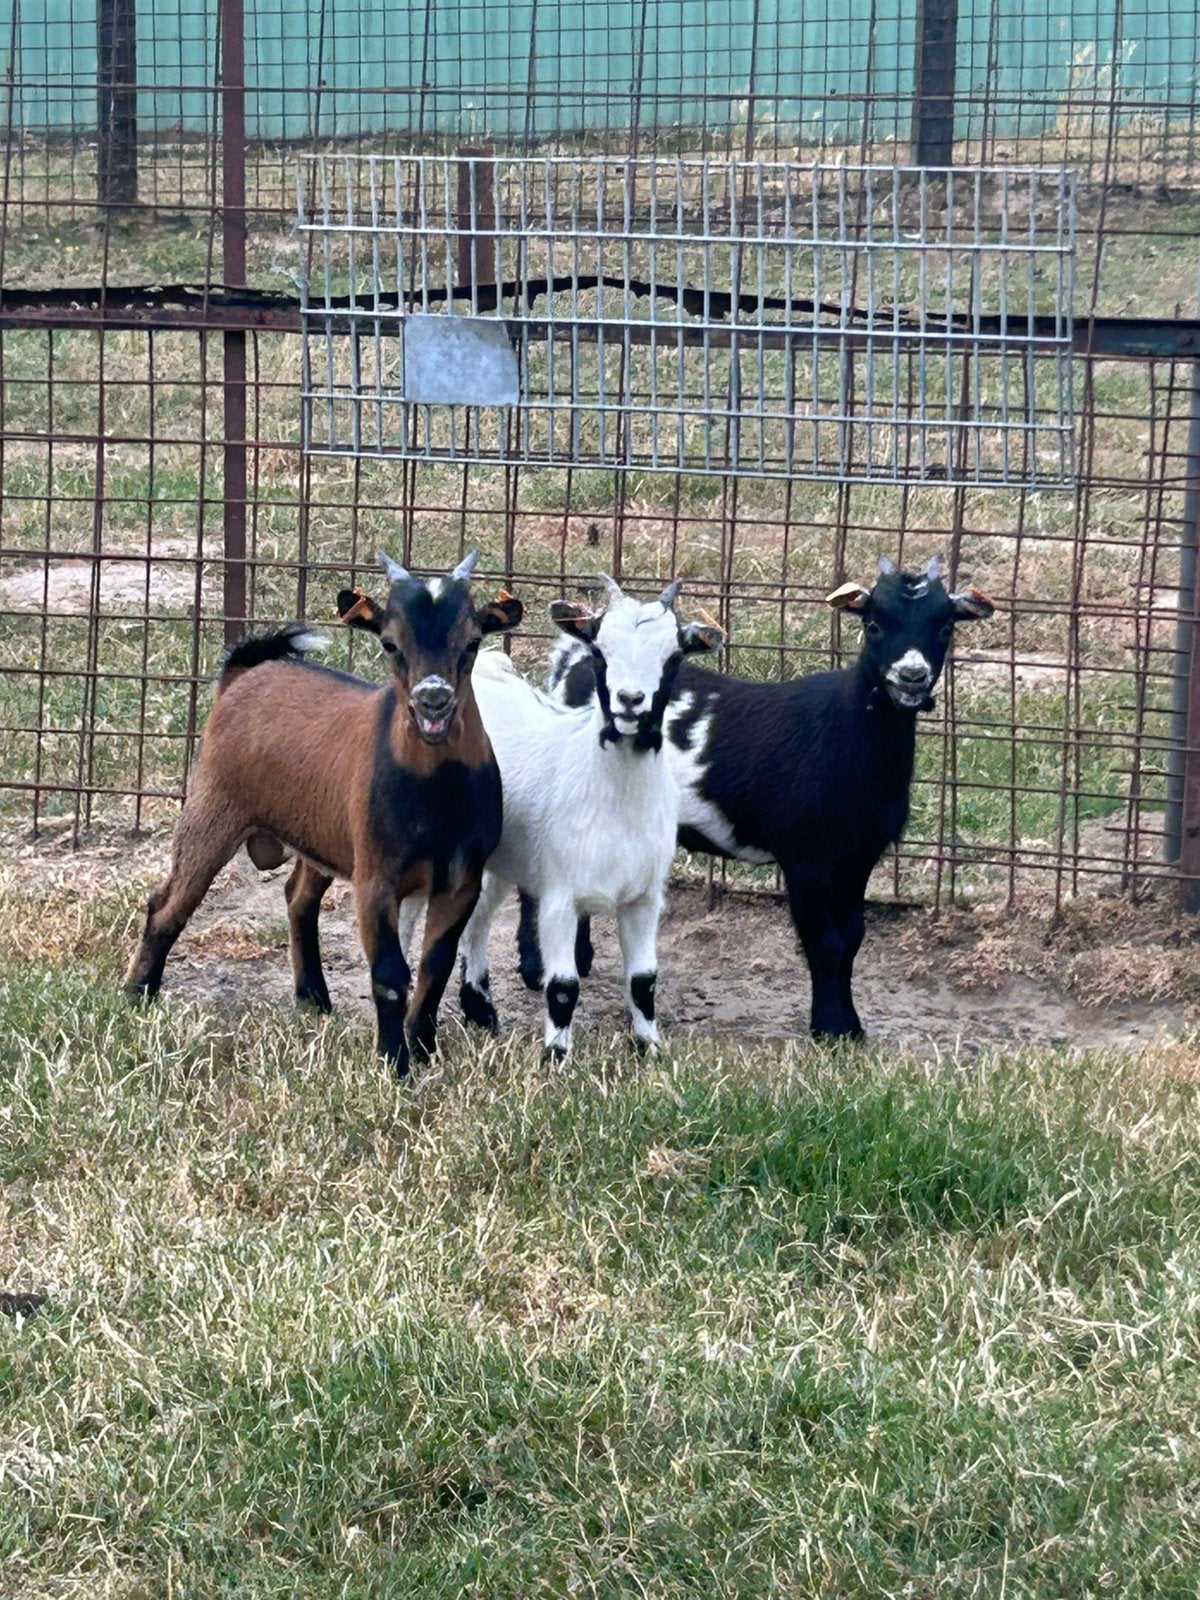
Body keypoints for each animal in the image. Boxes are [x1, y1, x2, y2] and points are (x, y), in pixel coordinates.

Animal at [125, 551, 523, 1076]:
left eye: (472, 641)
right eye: (390, 643)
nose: (432, 700)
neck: (437, 791)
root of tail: (242, 676)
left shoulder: (462, 879)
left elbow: (434, 967)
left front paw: (423, 1048)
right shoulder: (376, 874)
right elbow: (389, 974)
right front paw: (394, 1064)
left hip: (320, 836)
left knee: (297, 897)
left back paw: (313, 996)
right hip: (212, 810)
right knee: (167, 904)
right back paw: (137, 995)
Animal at [456, 575, 723, 1058]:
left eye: (673, 656)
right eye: (599, 651)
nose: (630, 701)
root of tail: (487, 671)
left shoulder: (644, 897)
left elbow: (644, 981)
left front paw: (649, 1049)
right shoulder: (561, 895)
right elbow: (563, 986)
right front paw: (556, 1057)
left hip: (501, 862)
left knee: (477, 922)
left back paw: (481, 1010)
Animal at [520, 556, 994, 1040]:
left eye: (945, 627)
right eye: (874, 624)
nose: (911, 677)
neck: (849, 732)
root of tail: (574, 660)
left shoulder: (858, 856)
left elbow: (852, 938)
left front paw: (851, 1027)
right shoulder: (804, 856)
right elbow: (825, 942)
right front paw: (830, 1029)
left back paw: (578, 958)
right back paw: (536, 968)